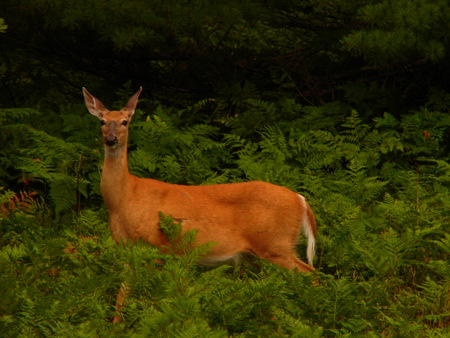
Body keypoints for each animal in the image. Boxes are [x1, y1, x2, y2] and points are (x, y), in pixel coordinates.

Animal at [82, 87, 318, 322]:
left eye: (124, 121)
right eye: (102, 121)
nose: (111, 139)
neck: (124, 199)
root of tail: (301, 200)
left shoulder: (155, 245)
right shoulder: (126, 248)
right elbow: (123, 294)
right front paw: (116, 325)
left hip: (276, 244)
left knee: (311, 274)